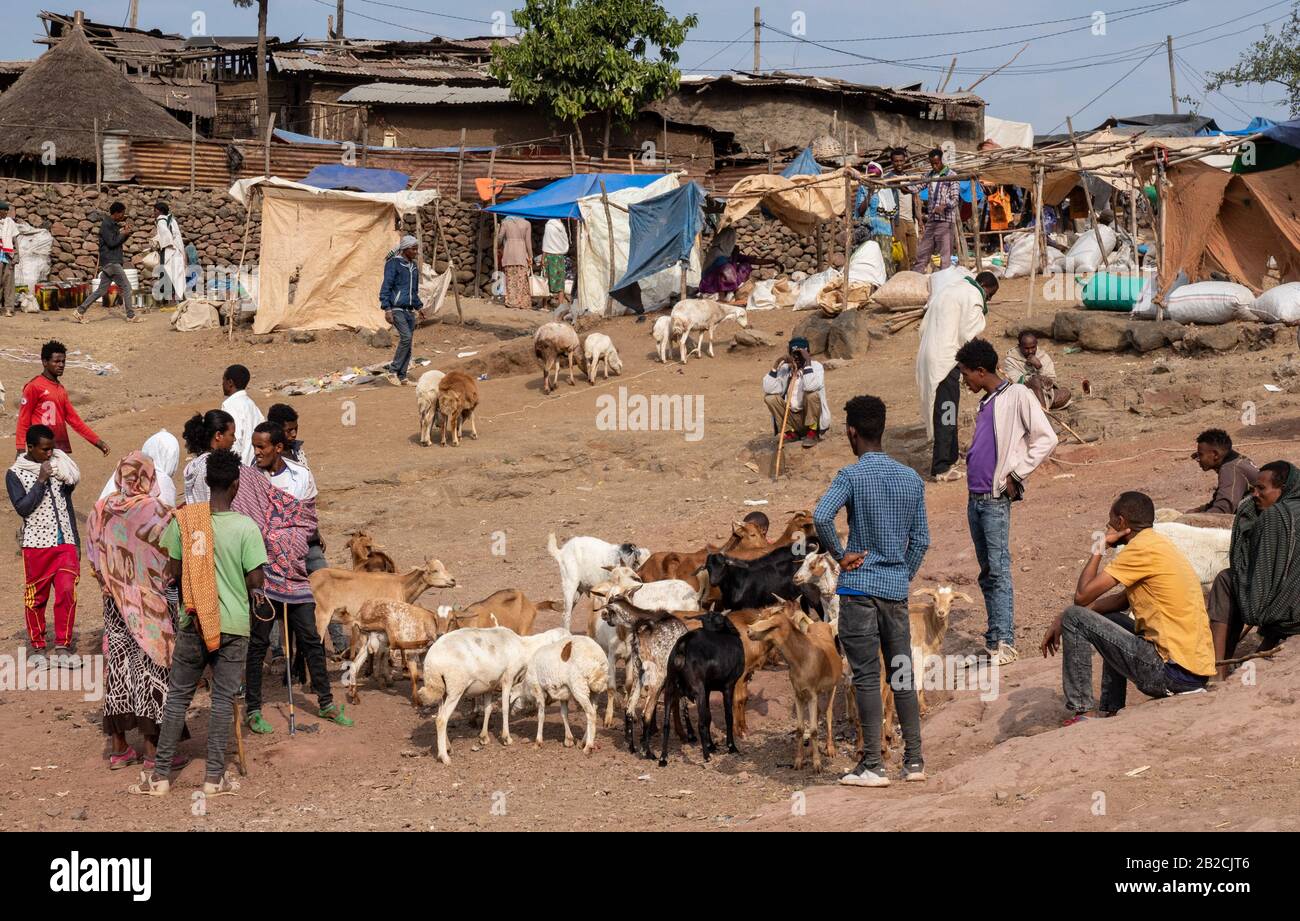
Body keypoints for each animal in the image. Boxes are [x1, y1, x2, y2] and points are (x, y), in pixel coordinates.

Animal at [660, 611, 743, 770]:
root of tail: (684, 643)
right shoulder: (728, 686)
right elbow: (728, 716)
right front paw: (731, 746)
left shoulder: (708, 689)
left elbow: (709, 716)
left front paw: (712, 745)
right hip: (698, 691)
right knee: (700, 724)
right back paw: (706, 756)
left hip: (670, 689)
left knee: (666, 724)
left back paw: (663, 758)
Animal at [748, 603, 847, 770]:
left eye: (770, 623)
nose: (748, 631)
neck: (802, 658)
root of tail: (820, 623)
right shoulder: (798, 694)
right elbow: (800, 729)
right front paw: (799, 761)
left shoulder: (812, 694)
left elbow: (813, 730)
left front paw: (817, 764)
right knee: (819, 712)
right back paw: (810, 750)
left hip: (831, 687)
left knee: (828, 712)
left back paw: (830, 748)